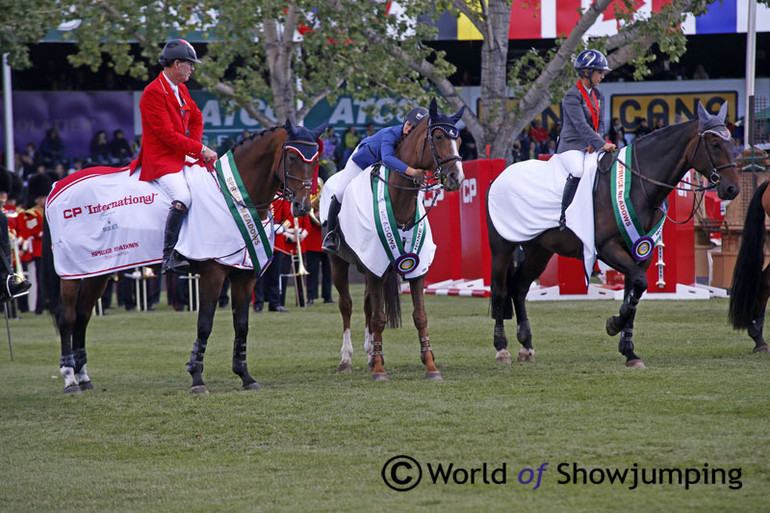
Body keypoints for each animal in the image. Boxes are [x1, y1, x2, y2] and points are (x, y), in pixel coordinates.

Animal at [42, 120, 324, 392]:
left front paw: (245, 376)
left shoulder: (244, 275)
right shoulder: (213, 273)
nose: (302, 206)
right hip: (72, 272)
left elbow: (242, 325)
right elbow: (205, 324)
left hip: (97, 271)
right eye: (292, 157)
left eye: (315, 160)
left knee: (82, 316)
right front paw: (197, 377)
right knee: (67, 318)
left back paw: (84, 378)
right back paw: (70, 379)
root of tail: (57, 185)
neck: (232, 196)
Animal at [326, 99, 462, 380]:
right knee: (347, 306)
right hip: (338, 262)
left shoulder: (413, 268)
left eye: (460, 139)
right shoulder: (375, 268)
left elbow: (420, 316)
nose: (456, 177)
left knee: (367, 305)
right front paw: (379, 370)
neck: (400, 205)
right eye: (439, 136)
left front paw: (430, 366)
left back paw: (370, 354)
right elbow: (379, 317)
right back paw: (347, 359)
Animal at [486, 103, 736, 368]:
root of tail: (499, 177)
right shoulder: (608, 249)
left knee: (520, 287)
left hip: (539, 251)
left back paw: (526, 346)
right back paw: (502, 349)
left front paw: (629, 352)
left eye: (731, 143)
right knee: (500, 290)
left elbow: (634, 292)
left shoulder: (640, 252)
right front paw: (614, 324)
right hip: (503, 248)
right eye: (715, 144)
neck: (638, 185)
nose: (732, 189)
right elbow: (638, 286)